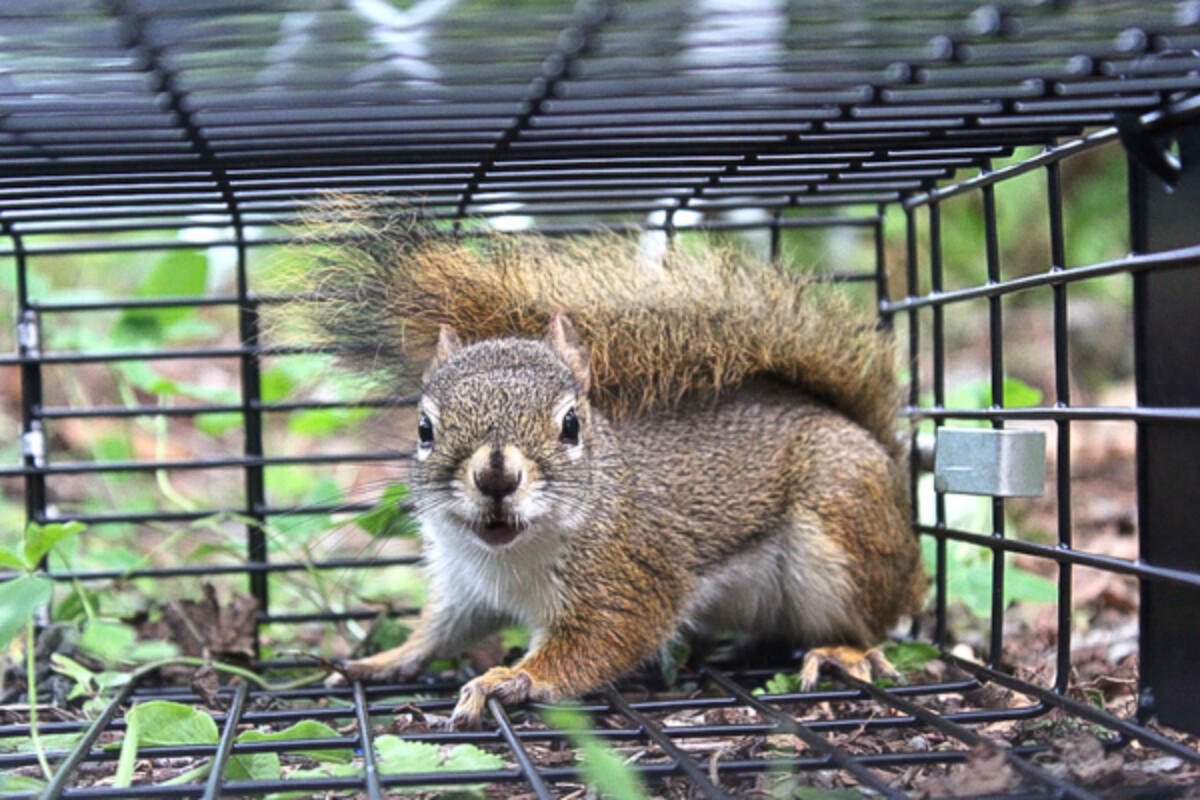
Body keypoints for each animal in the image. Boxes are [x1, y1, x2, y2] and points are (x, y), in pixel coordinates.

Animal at [290, 196, 927, 729]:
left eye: (571, 424)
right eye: (424, 429)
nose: (496, 475)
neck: (511, 557)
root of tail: (883, 458)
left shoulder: (630, 575)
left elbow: (604, 639)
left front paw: (508, 679)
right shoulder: (463, 582)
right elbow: (440, 631)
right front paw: (385, 658)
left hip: (844, 529)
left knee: (875, 623)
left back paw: (843, 650)